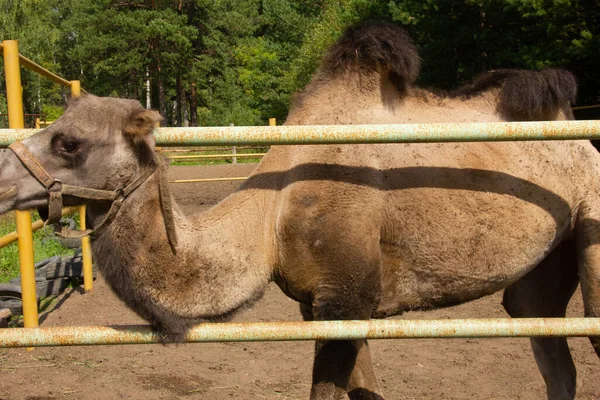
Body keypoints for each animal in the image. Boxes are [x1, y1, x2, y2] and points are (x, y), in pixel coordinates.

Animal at [1, 21, 600, 400]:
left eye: (69, 143)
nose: (3, 181)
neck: (272, 215)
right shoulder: (323, 304)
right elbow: (367, 392)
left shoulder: (346, 299)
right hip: (539, 275)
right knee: (549, 346)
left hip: (591, 221)